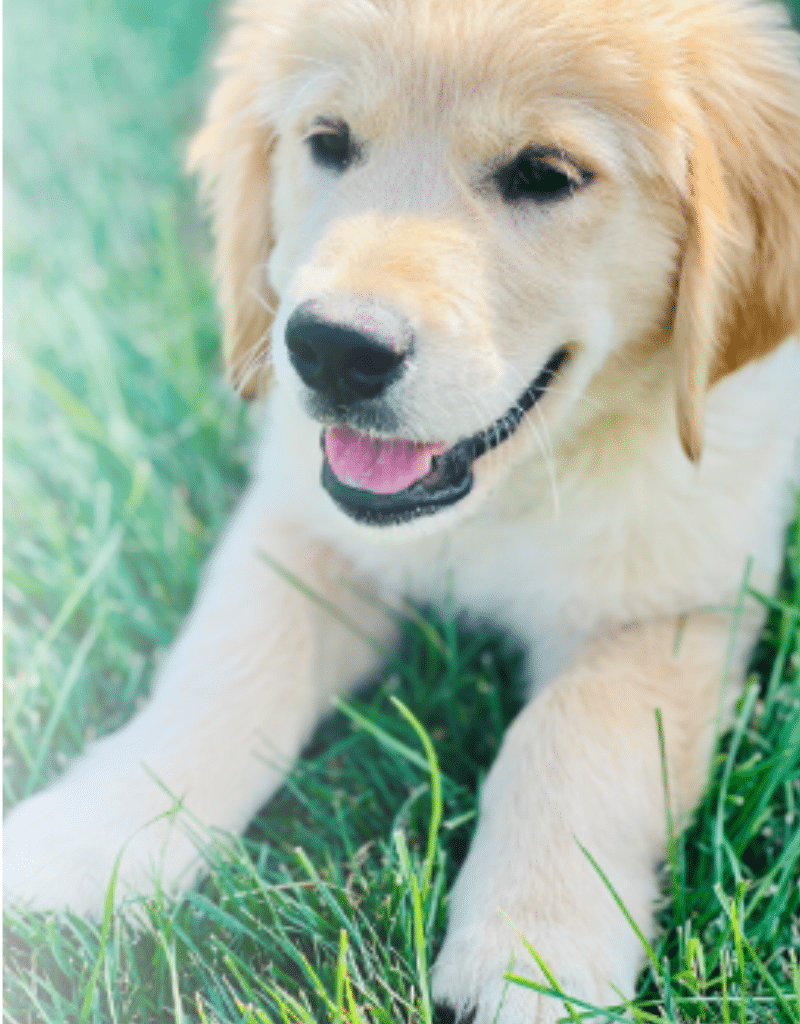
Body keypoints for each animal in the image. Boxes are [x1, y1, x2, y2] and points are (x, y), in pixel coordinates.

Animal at [6, 0, 798, 1019]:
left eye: (546, 175)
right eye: (328, 143)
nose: (334, 350)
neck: (504, 496)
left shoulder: (686, 595)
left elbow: (579, 734)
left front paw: (530, 952)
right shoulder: (299, 523)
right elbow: (227, 666)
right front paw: (90, 839)